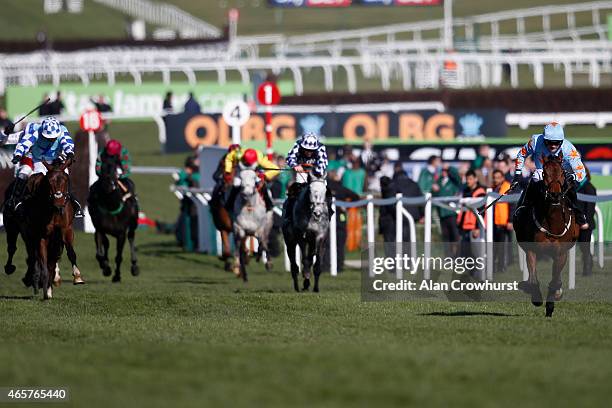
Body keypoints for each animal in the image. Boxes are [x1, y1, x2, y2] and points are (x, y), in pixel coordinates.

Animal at [512, 155, 576, 318]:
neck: (552, 223)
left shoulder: (560, 253)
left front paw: (551, 304)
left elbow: (554, 281)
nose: (554, 195)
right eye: (545, 174)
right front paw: (535, 296)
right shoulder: (532, 250)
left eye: (562, 173)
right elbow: (533, 280)